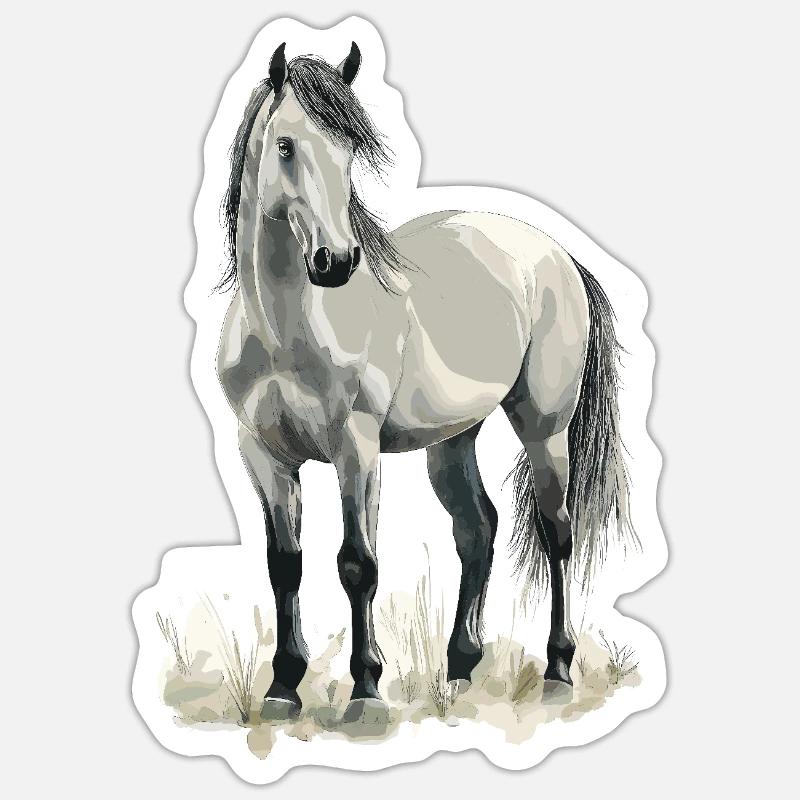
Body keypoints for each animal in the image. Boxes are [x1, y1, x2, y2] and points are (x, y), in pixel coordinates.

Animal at [216, 41, 634, 720]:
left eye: (350, 147)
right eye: (285, 145)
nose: (336, 261)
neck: (285, 330)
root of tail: (559, 255)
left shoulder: (355, 449)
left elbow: (357, 563)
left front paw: (365, 690)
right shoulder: (263, 454)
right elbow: (285, 565)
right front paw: (283, 687)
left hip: (544, 429)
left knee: (558, 532)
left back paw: (557, 669)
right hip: (453, 439)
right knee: (478, 529)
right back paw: (460, 668)